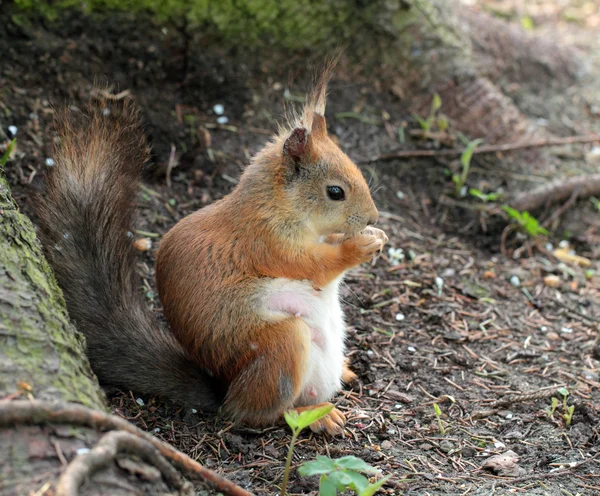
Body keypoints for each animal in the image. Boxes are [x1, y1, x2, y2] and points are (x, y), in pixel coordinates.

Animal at [34, 67, 390, 434]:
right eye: (335, 192)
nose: (373, 217)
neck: (277, 206)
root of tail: (223, 391)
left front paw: (374, 234)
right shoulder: (268, 243)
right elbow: (316, 266)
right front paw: (362, 244)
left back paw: (345, 370)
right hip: (282, 346)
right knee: (255, 412)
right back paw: (315, 414)